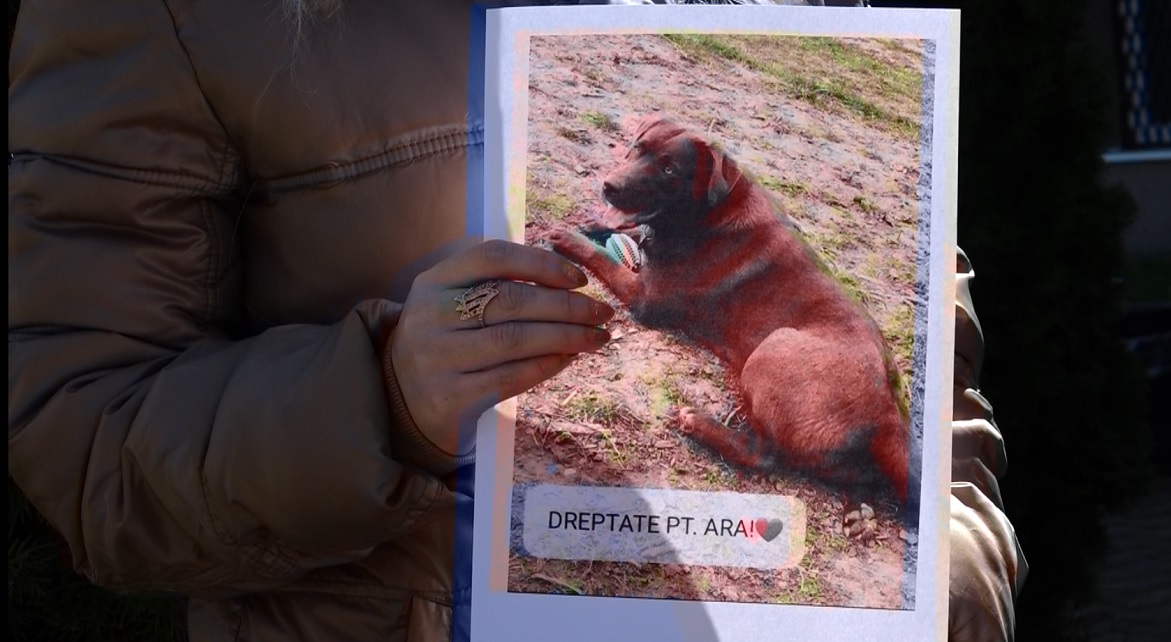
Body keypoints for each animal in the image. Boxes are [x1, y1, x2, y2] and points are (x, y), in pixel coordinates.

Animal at [545, 116, 913, 534]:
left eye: (669, 170)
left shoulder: (644, 295)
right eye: (638, 148)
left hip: (773, 349)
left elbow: (602, 258)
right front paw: (592, 225)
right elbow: (624, 231)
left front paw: (571, 240)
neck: (709, 215)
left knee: (763, 455)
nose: (609, 186)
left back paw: (700, 425)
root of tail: (890, 415)